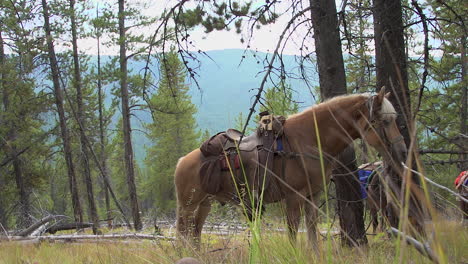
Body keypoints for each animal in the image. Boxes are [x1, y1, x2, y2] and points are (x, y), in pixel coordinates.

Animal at [175, 86, 414, 248]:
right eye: (385, 121)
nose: (403, 151)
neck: (307, 140)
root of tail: (182, 161)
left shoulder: (312, 197)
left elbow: (312, 235)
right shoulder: (294, 197)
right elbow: (292, 234)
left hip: (205, 203)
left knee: (195, 232)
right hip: (187, 205)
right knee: (183, 232)